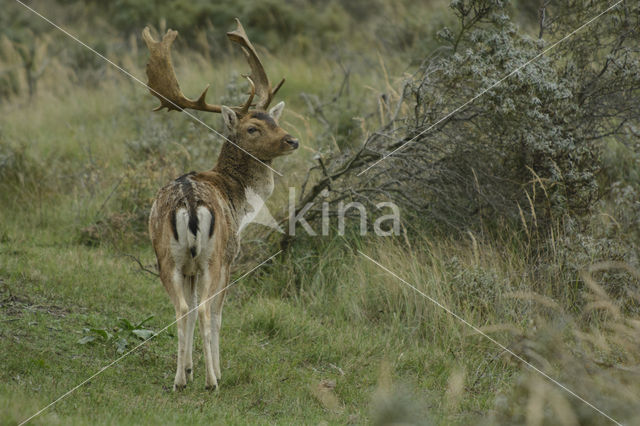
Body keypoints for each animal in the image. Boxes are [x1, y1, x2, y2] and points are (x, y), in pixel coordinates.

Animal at [142, 20, 298, 392]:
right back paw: (213, 381)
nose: (293, 140)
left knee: (182, 309)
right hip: (212, 258)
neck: (238, 199)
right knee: (203, 310)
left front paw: (188, 369)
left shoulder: (189, 268)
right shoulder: (230, 258)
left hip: (167, 257)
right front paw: (215, 371)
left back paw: (180, 381)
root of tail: (189, 203)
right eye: (253, 128)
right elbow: (217, 315)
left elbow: (190, 312)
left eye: (274, 120)